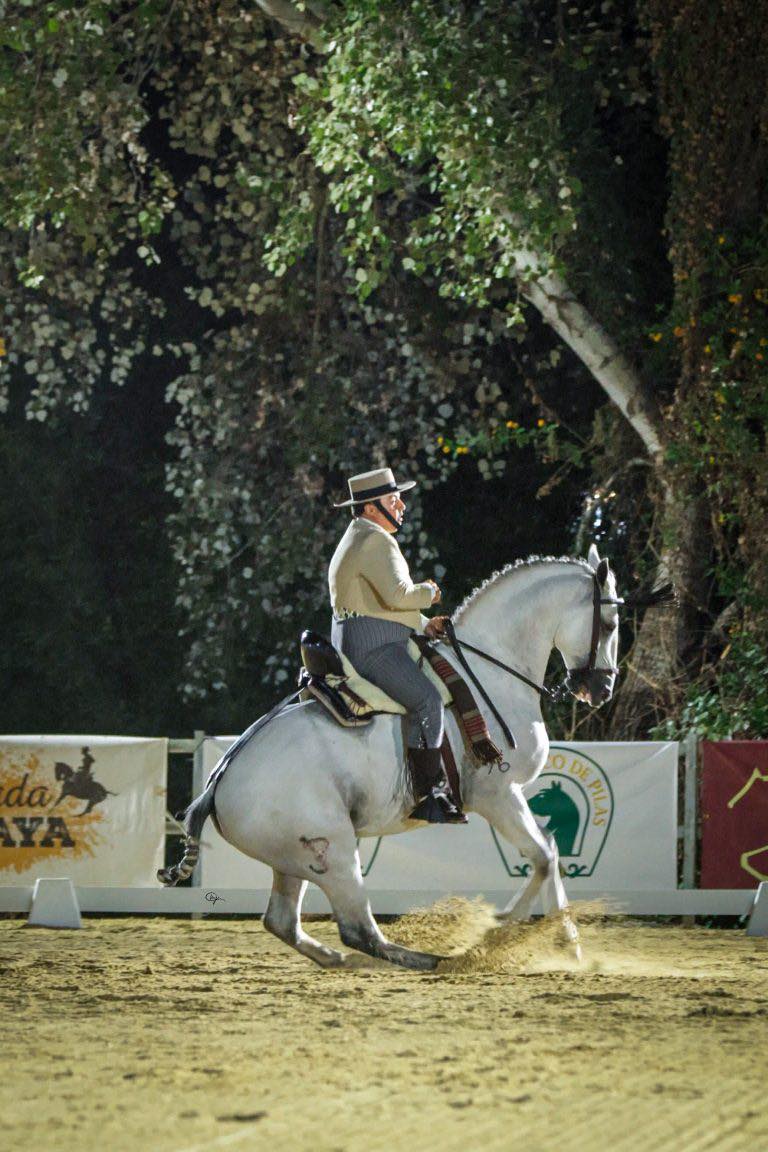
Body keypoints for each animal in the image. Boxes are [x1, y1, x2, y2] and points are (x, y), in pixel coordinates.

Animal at [162, 544, 623, 970]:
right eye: (610, 624)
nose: (601, 690)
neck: (490, 673)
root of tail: (219, 781)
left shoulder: (508, 797)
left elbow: (549, 851)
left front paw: (569, 944)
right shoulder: (497, 794)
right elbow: (543, 857)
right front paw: (501, 926)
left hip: (294, 863)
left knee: (283, 923)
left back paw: (343, 960)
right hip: (336, 853)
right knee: (359, 932)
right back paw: (435, 960)